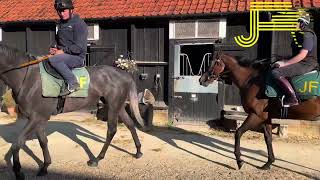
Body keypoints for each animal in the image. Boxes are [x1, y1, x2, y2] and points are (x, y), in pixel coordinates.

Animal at [0, 44, 146, 179]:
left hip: (113, 106)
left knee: (111, 130)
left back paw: (97, 159)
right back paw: (138, 151)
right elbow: (43, 142)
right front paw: (45, 167)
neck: (28, 77)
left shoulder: (35, 118)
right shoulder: (39, 119)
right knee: (130, 124)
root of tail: (125, 74)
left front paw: (19, 172)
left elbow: (17, 144)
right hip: (118, 106)